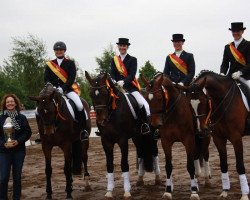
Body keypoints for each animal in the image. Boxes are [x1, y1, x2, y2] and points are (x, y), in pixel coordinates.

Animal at [85, 71, 159, 199]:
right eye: (90, 94)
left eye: (105, 92)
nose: (101, 121)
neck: (112, 113)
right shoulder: (106, 141)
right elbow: (109, 165)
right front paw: (109, 191)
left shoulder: (122, 140)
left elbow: (124, 164)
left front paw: (127, 191)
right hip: (137, 137)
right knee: (141, 153)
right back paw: (140, 179)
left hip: (151, 136)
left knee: (154, 153)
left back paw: (157, 179)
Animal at [187, 70, 249, 200]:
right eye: (189, 105)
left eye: (204, 101)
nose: (200, 130)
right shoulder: (218, 139)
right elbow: (223, 164)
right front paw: (224, 191)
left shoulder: (236, 138)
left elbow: (240, 165)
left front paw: (245, 194)